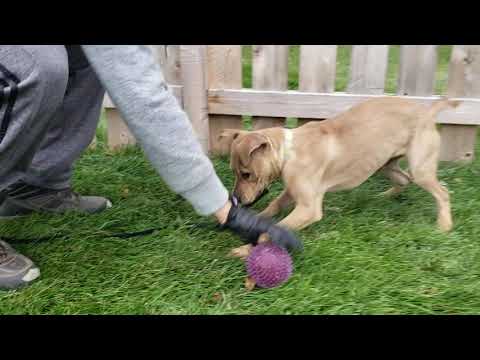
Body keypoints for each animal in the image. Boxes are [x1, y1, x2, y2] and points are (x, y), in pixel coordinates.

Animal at [219, 98, 460, 258]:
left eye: (246, 174)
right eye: (234, 172)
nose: (236, 199)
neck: (289, 150)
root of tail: (428, 111)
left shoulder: (308, 208)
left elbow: (270, 233)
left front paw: (244, 249)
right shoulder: (292, 192)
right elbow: (273, 207)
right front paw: (253, 220)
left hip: (421, 168)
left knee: (442, 192)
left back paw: (444, 225)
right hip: (385, 164)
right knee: (403, 180)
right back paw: (385, 196)